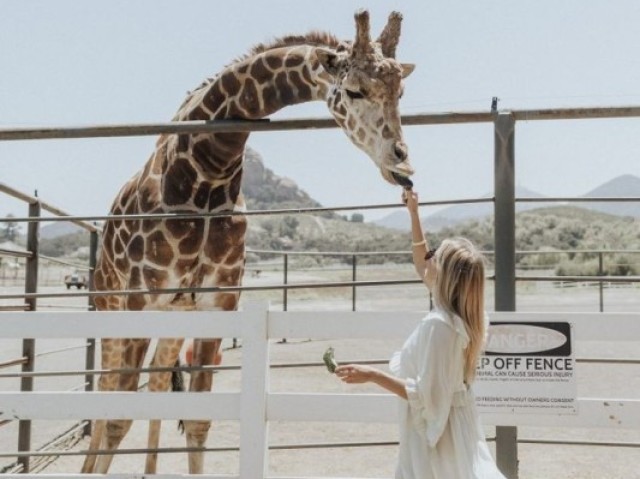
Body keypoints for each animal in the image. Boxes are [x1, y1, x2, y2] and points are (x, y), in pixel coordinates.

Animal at [81, 9, 416, 474]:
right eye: (354, 89)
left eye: (400, 90)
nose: (402, 163)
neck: (207, 172)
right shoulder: (139, 300)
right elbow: (116, 419)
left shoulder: (216, 302)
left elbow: (199, 421)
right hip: (111, 305)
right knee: (105, 396)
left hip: (173, 318)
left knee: (156, 385)